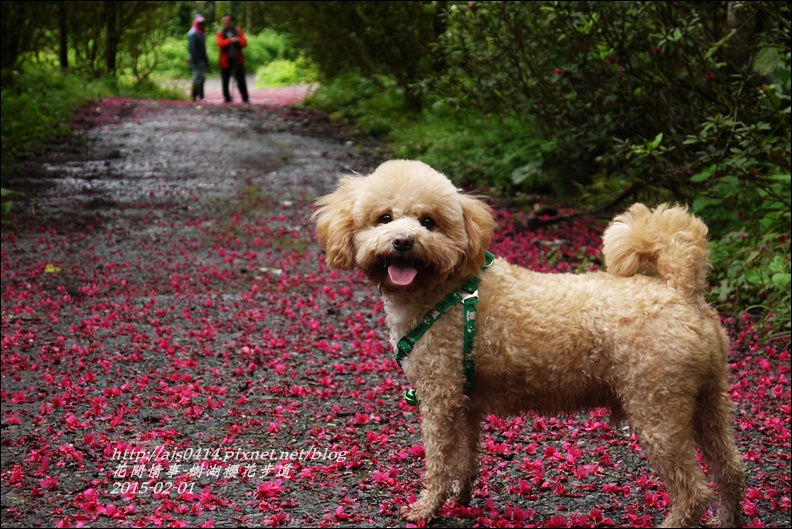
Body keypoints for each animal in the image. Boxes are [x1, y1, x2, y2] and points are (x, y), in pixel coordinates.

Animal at [312, 159, 744, 524]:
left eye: (428, 222)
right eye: (384, 218)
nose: (403, 241)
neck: (444, 288)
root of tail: (681, 288)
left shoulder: (439, 397)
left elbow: (438, 461)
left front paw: (425, 509)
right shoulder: (464, 402)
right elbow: (465, 458)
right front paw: (459, 499)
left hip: (657, 409)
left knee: (694, 492)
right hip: (708, 399)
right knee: (730, 470)